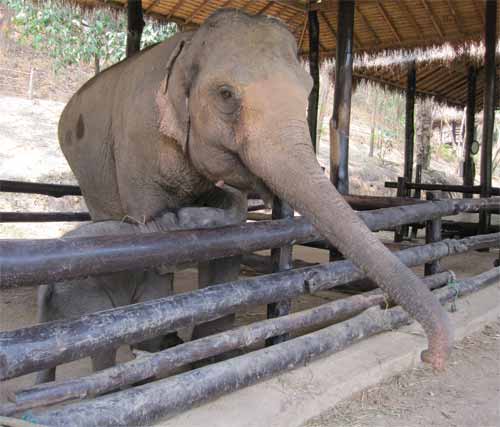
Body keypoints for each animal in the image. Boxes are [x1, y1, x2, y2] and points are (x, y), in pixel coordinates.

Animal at [58, 9, 454, 372]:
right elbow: (151, 240)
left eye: (309, 91)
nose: (430, 358)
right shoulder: (137, 143)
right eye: (226, 94)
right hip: (92, 175)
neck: (190, 43)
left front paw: (216, 356)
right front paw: (171, 223)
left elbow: (230, 239)